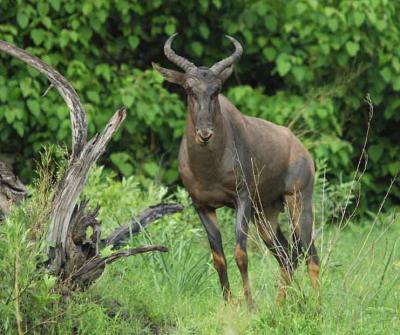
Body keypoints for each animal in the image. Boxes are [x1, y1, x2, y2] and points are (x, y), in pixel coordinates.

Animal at [152, 34, 320, 308]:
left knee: (310, 255)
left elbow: (241, 254)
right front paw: (229, 304)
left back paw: (316, 307)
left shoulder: (242, 199)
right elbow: (218, 257)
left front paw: (250, 306)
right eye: (189, 88)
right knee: (286, 255)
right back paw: (281, 304)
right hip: (266, 215)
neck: (210, 166)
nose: (205, 134)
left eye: (217, 89)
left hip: (298, 202)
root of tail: (301, 148)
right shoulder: (202, 206)